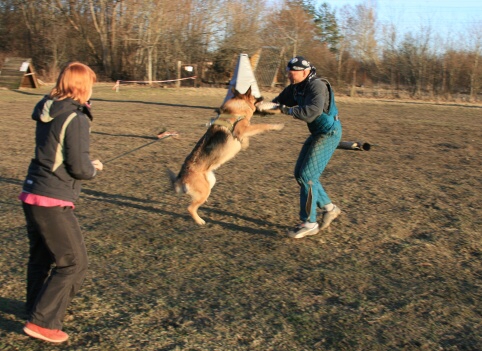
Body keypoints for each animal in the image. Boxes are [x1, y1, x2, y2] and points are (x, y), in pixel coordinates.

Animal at [169, 87, 284, 226]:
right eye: (255, 96)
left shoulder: (244, 132)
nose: (262, 97)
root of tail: (180, 177)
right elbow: (263, 126)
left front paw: (245, 143)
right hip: (204, 190)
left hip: (210, 181)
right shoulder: (244, 129)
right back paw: (200, 221)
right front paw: (277, 126)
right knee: (190, 208)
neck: (237, 108)